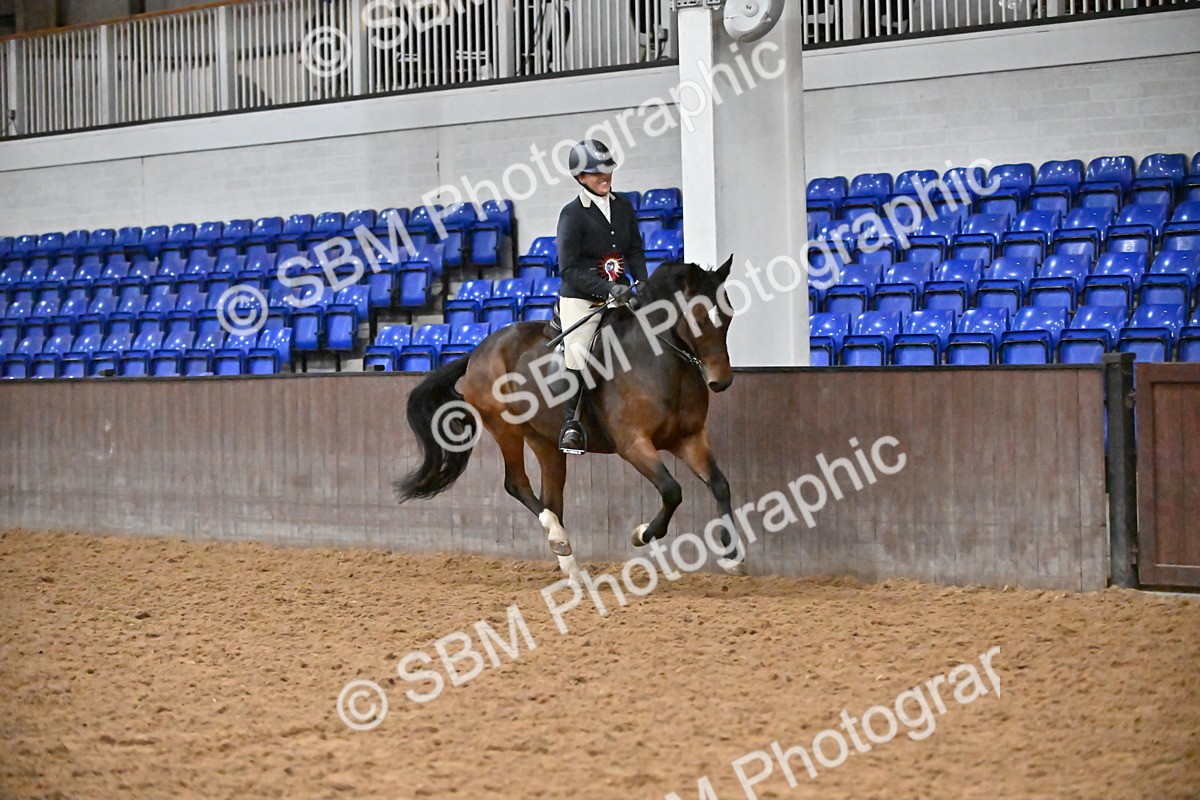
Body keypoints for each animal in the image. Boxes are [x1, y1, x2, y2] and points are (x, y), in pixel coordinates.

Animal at [393, 257, 745, 584]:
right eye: (698, 317)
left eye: (728, 316)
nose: (721, 381)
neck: (662, 363)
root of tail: (479, 350)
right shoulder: (633, 444)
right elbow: (672, 491)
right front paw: (642, 534)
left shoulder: (689, 438)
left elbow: (720, 485)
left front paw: (731, 557)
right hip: (505, 428)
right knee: (516, 484)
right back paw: (557, 537)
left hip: (545, 440)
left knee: (551, 497)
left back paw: (570, 565)